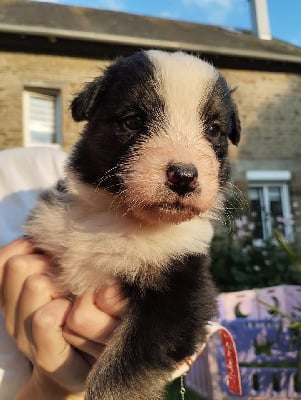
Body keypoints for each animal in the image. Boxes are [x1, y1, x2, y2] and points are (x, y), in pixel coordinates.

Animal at [24, 50, 239, 400]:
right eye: (134, 120)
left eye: (213, 129)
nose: (183, 175)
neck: (121, 218)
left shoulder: (181, 288)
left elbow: (123, 370)